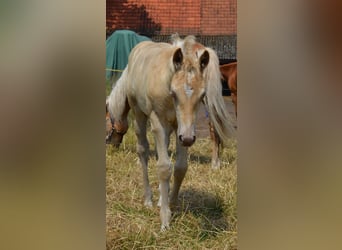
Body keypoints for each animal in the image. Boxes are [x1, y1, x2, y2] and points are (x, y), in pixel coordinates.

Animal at [107, 34, 235, 230]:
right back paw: (148, 200)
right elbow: (163, 167)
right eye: (173, 93)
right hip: (139, 114)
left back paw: (161, 199)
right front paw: (165, 220)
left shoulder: (182, 128)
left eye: (202, 95)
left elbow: (180, 166)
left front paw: (171, 204)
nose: (112, 143)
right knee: (142, 150)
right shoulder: (159, 122)